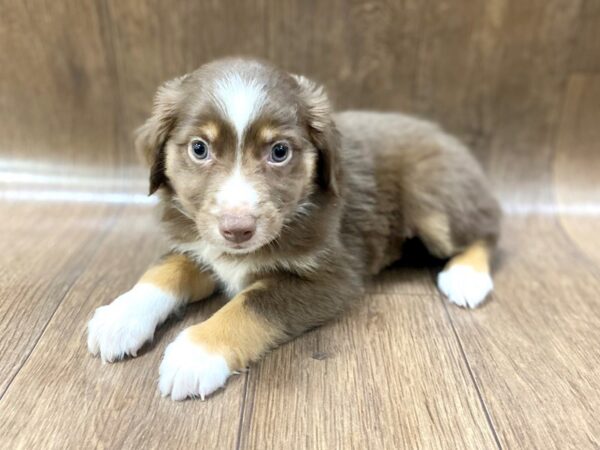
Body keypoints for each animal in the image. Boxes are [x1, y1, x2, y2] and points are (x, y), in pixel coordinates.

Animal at [88, 57, 502, 400]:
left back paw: (466, 278)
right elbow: (163, 271)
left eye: (279, 152)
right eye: (199, 148)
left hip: (433, 196)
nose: (237, 230)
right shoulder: (195, 243)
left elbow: (251, 304)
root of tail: (447, 137)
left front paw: (195, 353)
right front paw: (120, 317)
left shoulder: (330, 277)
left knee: (487, 232)